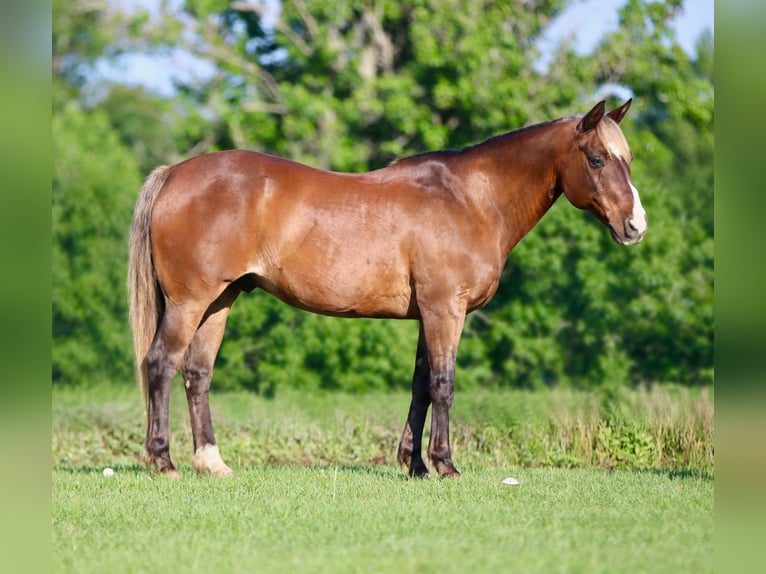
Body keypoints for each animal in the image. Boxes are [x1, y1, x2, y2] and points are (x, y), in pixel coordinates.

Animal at [128, 99, 646, 479]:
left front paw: (414, 463)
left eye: (629, 160)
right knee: (161, 364)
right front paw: (445, 464)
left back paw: (210, 462)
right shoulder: (445, 310)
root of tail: (173, 174)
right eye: (597, 159)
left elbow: (420, 385)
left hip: (220, 300)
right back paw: (163, 461)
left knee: (197, 373)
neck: (471, 198)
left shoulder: (428, 315)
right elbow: (443, 384)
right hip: (190, 301)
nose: (636, 226)